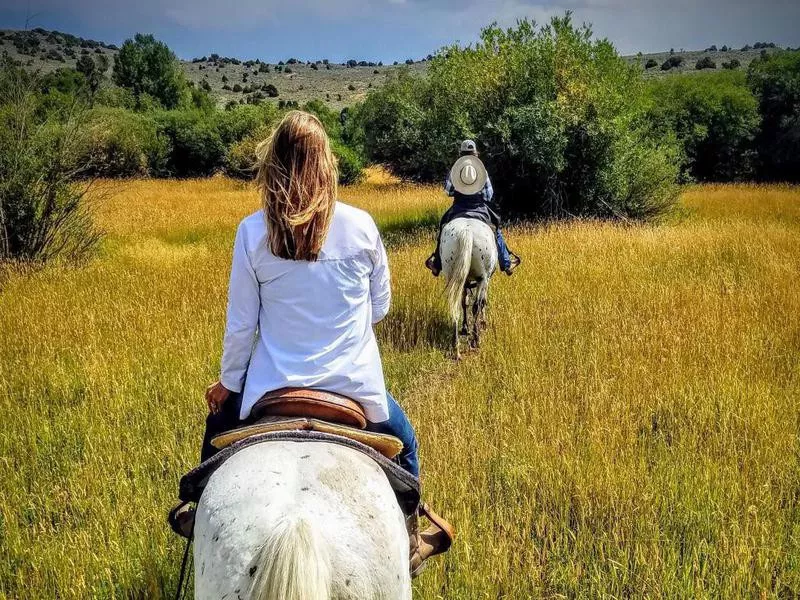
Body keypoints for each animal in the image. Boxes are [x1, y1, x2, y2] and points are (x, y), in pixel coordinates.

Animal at [440, 220, 496, 360]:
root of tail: (466, 232)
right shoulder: (486, 280)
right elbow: (482, 302)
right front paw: (483, 323)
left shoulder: (464, 282)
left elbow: (463, 303)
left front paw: (465, 328)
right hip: (482, 278)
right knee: (476, 306)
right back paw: (475, 339)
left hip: (453, 276)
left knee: (455, 307)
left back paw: (456, 347)